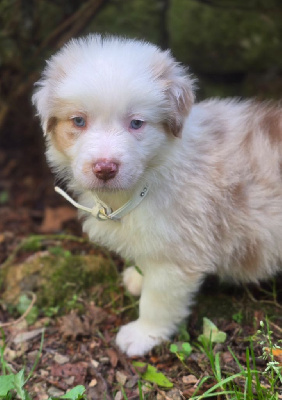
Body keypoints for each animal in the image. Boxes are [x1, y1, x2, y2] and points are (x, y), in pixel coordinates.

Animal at [32, 35, 282, 356]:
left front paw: (142, 335)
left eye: (137, 123)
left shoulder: (175, 257)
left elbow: (157, 301)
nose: (105, 168)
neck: (146, 180)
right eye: (78, 121)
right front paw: (137, 277)